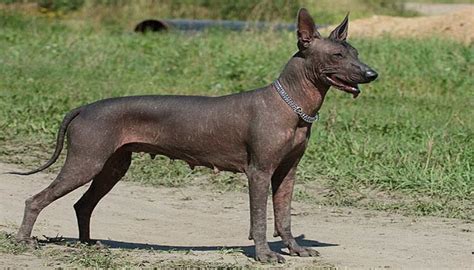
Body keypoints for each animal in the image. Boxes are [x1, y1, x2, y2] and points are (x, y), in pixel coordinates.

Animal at [9, 8, 378, 264]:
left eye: (356, 53)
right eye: (337, 55)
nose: (372, 73)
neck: (291, 104)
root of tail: (85, 107)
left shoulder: (287, 172)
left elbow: (284, 216)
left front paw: (294, 248)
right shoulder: (259, 173)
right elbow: (259, 218)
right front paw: (264, 255)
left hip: (112, 166)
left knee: (82, 204)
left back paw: (88, 244)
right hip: (86, 162)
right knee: (36, 199)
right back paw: (24, 241)